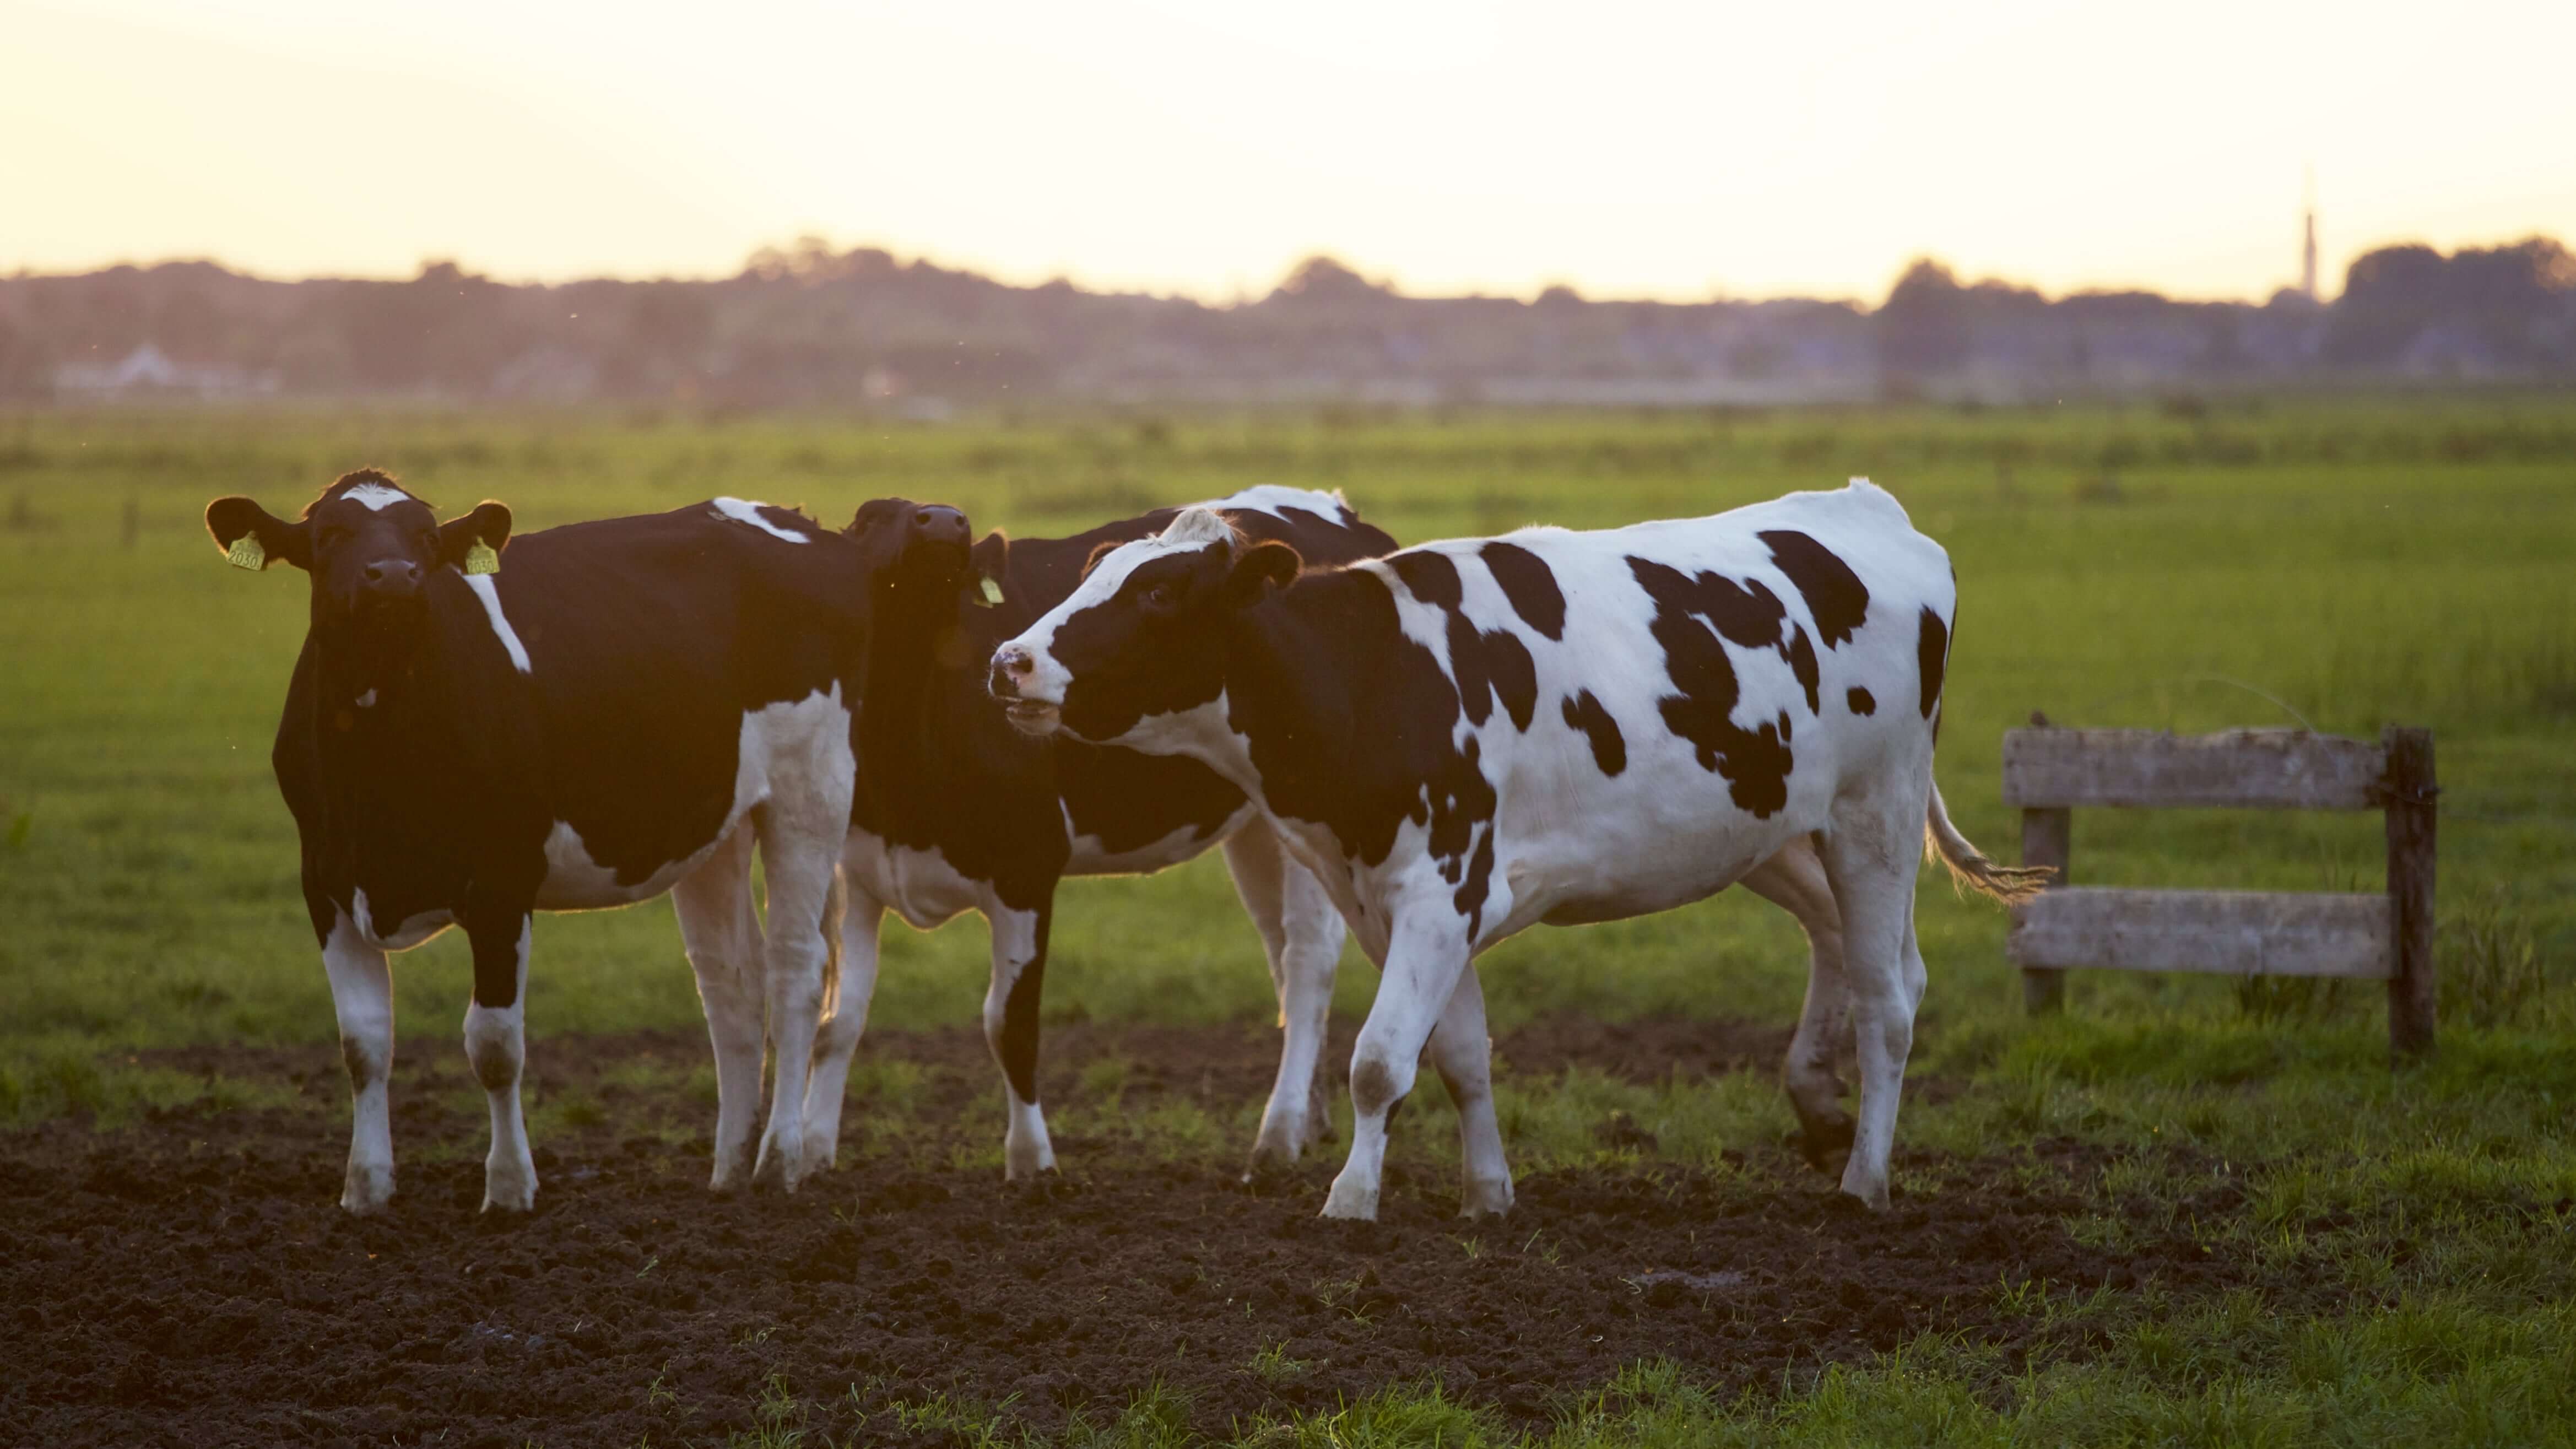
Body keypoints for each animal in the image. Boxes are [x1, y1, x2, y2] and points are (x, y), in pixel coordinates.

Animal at [198, 472, 875, 1207]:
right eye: (329, 535)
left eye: (426, 538)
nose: (395, 576)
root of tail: (795, 520)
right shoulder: (324, 883)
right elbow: (363, 1043)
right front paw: (366, 1188)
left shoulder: (502, 883)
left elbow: (494, 1045)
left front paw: (508, 1187)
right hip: (716, 822)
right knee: (731, 982)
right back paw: (726, 1169)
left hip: (810, 790)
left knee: (795, 969)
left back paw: (779, 1159)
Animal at [798, 484, 1411, 1175]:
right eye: (869, 518)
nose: (944, 521)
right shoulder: (860, 872)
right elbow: (838, 1020)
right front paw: (811, 1152)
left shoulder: (1026, 868)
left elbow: (1009, 1024)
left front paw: (1032, 1163)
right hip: (1260, 827)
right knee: (1279, 951)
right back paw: (1309, 1119)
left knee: (1307, 960)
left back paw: (1278, 1134)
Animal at [989, 479, 2050, 1212]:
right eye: (1092, 575)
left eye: (1161, 594)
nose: (1010, 660)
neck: (1375, 673)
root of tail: (1869, 509)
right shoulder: (1402, 900)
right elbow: (1458, 1054)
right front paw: (1487, 1193)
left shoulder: (1440, 887)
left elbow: (1379, 1060)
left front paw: (1351, 1199)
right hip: (1775, 827)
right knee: (1851, 947)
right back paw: (1820, 1105)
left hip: (1876, 813)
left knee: (1890, 998)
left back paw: (1866, 1178)